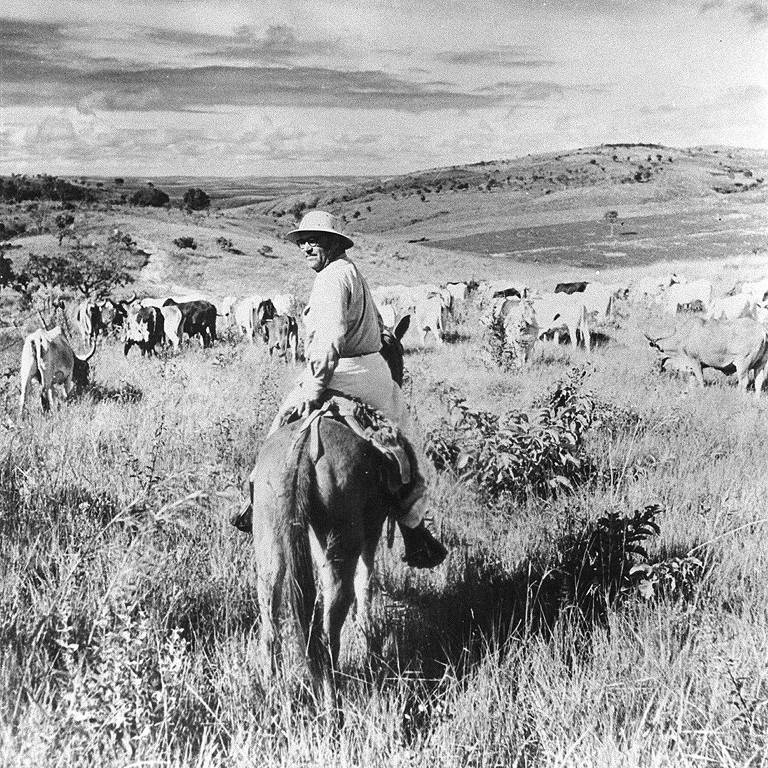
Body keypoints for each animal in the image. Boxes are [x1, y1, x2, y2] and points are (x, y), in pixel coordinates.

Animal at [249, 314, 412, 708]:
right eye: (397, 353)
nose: (401, 375)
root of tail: (303, 447)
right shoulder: (370, 534)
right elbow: (366, 586)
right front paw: (369, 642)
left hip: (270, 546)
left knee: (271, 618)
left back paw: (272, 690)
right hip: (340, 545)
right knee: (329, 620)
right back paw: (330, 696)